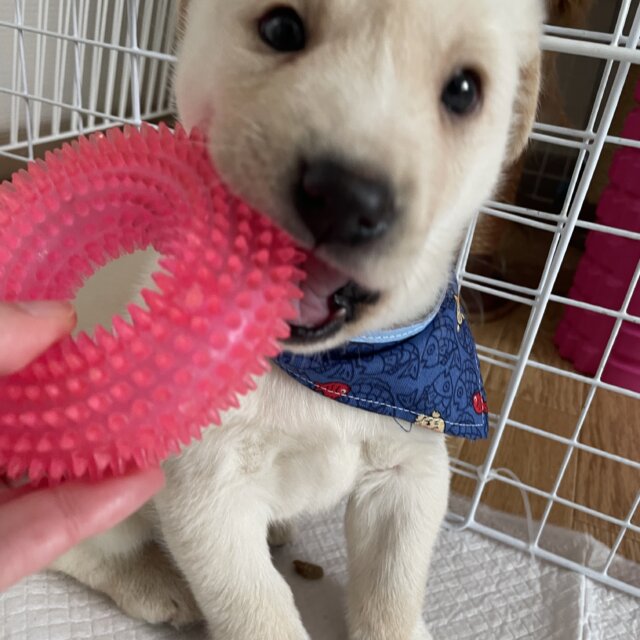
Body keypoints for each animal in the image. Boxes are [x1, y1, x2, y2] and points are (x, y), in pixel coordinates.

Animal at [52, 1, 544, 638]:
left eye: (464, 90)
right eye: (281, 27)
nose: (345, 195)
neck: (333, 371)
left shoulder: (410, 474)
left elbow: (394, 589)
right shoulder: (209, 495)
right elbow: (257, 609)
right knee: (79, 548)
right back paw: (156, 585)